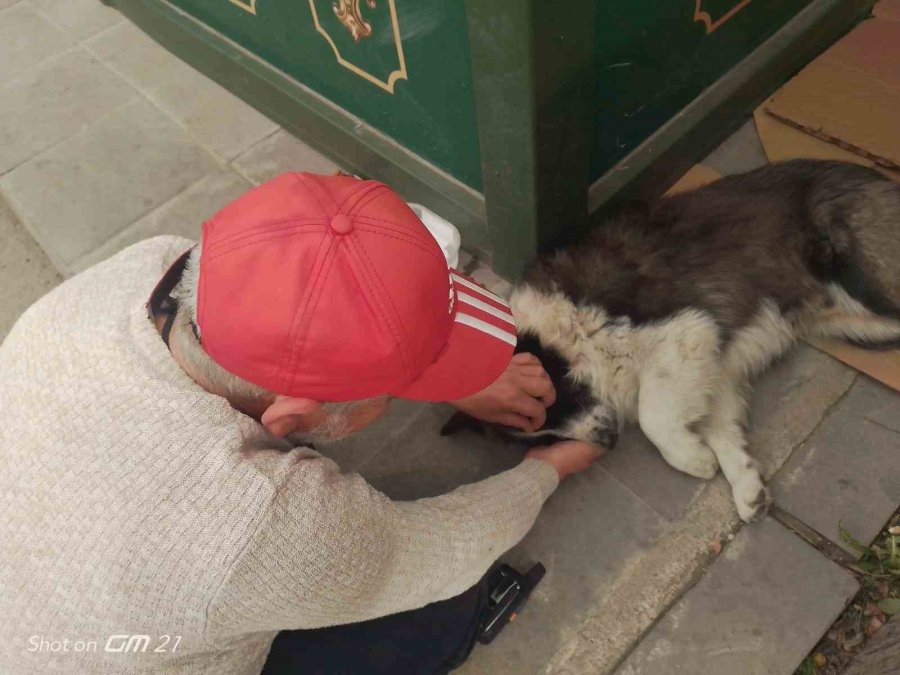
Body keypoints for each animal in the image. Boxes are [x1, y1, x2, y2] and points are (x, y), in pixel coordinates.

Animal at [446, 160, 900, 524]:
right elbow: (722, 429)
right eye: (542, 437)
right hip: (862, 327)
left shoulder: (686, 330)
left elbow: (654, 416)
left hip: (864, 279)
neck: (566, 338)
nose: (607, 441)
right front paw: (745, 486)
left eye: (547, 401)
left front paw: (694, 459)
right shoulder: (718, 366)